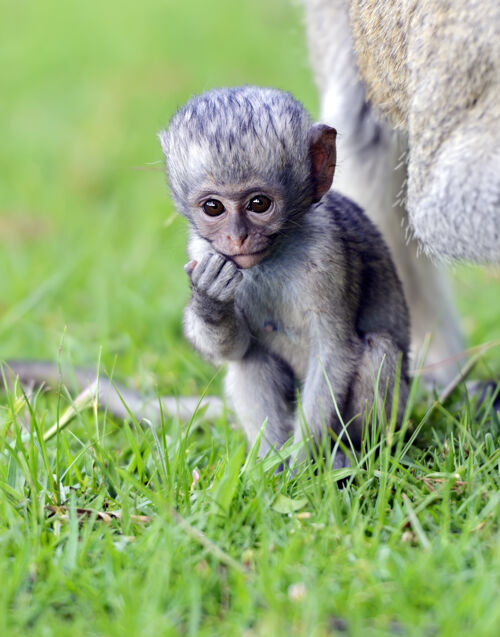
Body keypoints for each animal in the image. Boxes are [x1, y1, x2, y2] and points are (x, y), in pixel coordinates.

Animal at [160, 87, 410, 464]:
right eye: (213, 207)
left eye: (259, 204)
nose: (237, 238)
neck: (271, 257)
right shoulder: (202, 252)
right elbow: (235, 350)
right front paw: (210, 299)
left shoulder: (327, 255)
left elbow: (334, 353)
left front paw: (302, 466)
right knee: (250, 358)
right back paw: (268, 462)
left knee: (378, 349)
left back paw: (351, 455)